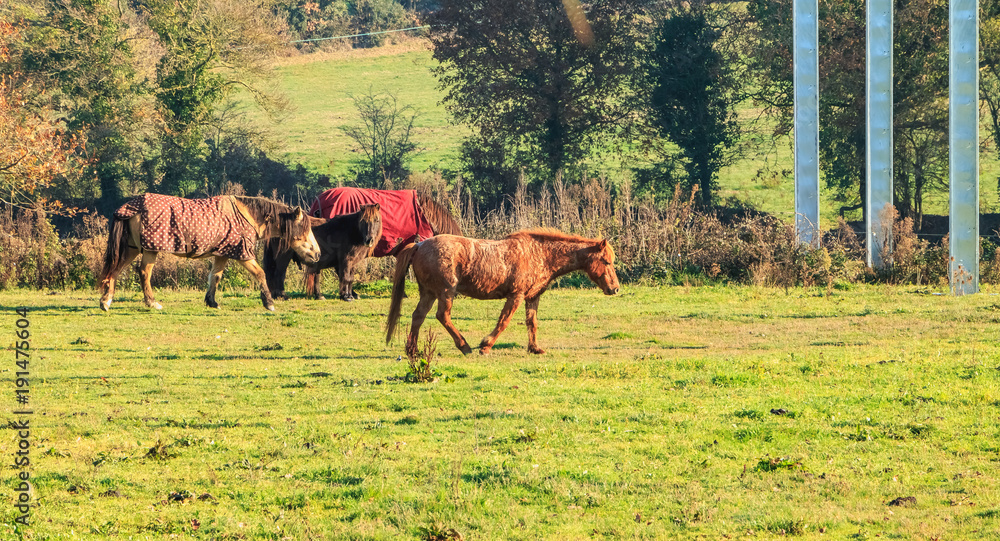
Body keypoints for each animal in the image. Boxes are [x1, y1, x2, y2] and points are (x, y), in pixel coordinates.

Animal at [97, 194, 320, 312]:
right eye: (305, 230)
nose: (317, 254)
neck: (247, 216)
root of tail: (130, 206)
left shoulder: (222, 254)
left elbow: (215, 277)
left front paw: (211, 301)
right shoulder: (243, 254)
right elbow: (260, 274)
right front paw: (269, 303)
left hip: (132, 249)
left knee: (115, 271)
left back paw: (106, 301)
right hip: (150, 250)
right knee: (144, 273)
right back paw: (152, 302)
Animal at [385, 230, 620, 356]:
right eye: (606, 261)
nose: (615, 288)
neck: (539, 254)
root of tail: (420, 245)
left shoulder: (532, 297)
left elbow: (532, 323)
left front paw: (535, 348)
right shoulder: (515, 296)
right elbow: (504, 321)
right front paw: (486, 345)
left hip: (429, 293)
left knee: (418, 316)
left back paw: (412, 350)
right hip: (446, 292)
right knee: (442, 316)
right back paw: (464, 346)